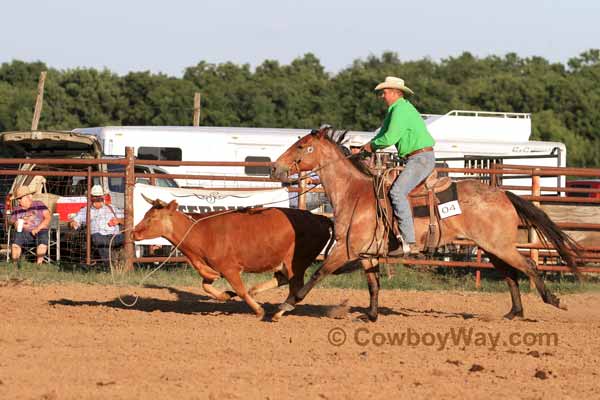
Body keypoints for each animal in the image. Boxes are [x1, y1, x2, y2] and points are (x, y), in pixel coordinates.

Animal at [131, 198, 332, 322]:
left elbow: (240, 290)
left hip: (295, 261)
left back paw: (278, 312)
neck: (201, 232)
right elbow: (206, 285)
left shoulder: (230, 269)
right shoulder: (211, 267)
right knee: (283, 280)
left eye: (152, 217)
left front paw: (258, 310)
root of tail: (319, 218)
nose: (133, 233)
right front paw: (227, 294)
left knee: (296, 287)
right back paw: (257, 291)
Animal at [270, 128, 580, 322]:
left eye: (301, 146)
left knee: (528, 267)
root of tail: (503, 193)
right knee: (511, 275)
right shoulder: (367, 253)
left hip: (500, 246)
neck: (354, 193)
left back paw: (553, 301)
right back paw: (513, 313)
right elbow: (373, 285)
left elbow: (317, 274)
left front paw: (284, 306)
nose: (274, 167)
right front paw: (371, 315)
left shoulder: (346, 251)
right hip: (492, 248)